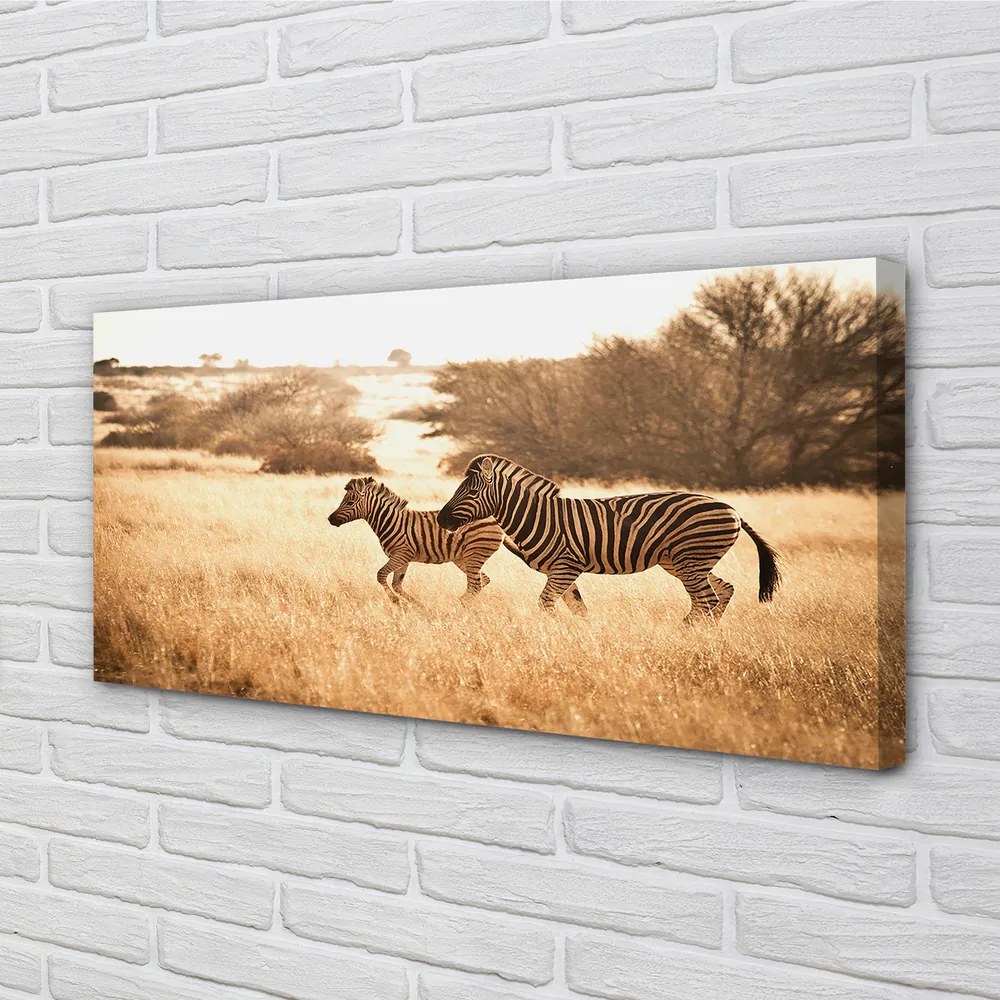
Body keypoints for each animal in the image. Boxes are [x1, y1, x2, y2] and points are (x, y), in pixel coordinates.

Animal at [328, 476, 503, 603]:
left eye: (350, 502)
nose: (330, 519)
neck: (390, 521)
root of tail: (494, 519)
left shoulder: (402, 554)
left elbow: (381, 575)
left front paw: (396, 601)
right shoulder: (402, 558)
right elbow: (397, 584)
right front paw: (415, 604)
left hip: (475, 553)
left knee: (475, 584)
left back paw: (457, 606)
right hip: (462, 557)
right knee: (482, 580)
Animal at [437, 455, 780, 619]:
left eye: (471, 492)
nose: (441, 519)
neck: (538, 516)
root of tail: (732, 508)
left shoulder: (566, 566)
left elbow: (546, 603)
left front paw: (551, 633)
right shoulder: (562, 571)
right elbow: (577, 607)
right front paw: (581, 634)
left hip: (691, 560)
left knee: (706, 599)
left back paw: (687, 634)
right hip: (687, 562)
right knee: (724, 591)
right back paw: (706, 634)